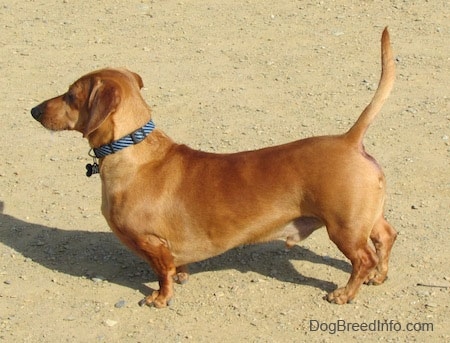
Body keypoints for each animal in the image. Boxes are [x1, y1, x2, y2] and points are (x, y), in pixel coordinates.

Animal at [31, 28, 396, 308]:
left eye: (71, 95)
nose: (34, 110)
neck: (133, 152)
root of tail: (350, 140)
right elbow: (175, 268)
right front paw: (181, 275)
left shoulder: (152, 243)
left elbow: (161, 273)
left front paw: (160, 298)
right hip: (365, 218)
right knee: (385, 238)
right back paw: (379, 276)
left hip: (344, 228)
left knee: (362, 259)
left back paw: (345, 293)